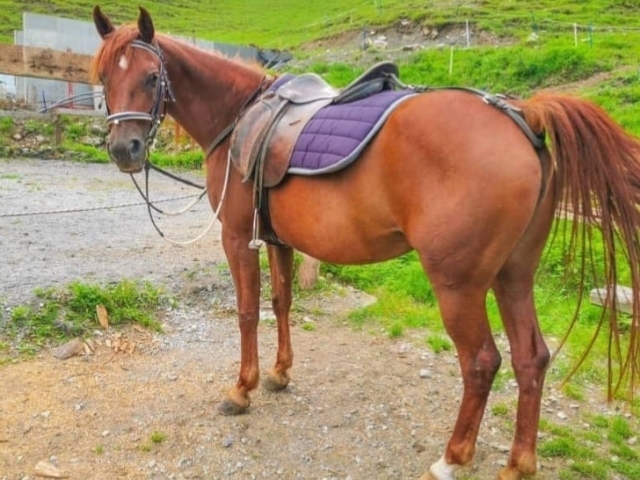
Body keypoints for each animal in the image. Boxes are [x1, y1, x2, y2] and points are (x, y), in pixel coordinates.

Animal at [91, 6, 640, 479]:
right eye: (104, 78)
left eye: (151, 77)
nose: (124, 150)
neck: (240, 117)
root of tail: (523, 116)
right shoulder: (277, 239)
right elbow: (282, 302)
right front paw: (280, 374)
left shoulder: (237, 237)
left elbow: (248, 311)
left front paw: (241, 388)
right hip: (514, 274)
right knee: (532, 358)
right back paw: (518, 464)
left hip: (458, 284)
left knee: (483, 362)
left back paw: (452, 458)